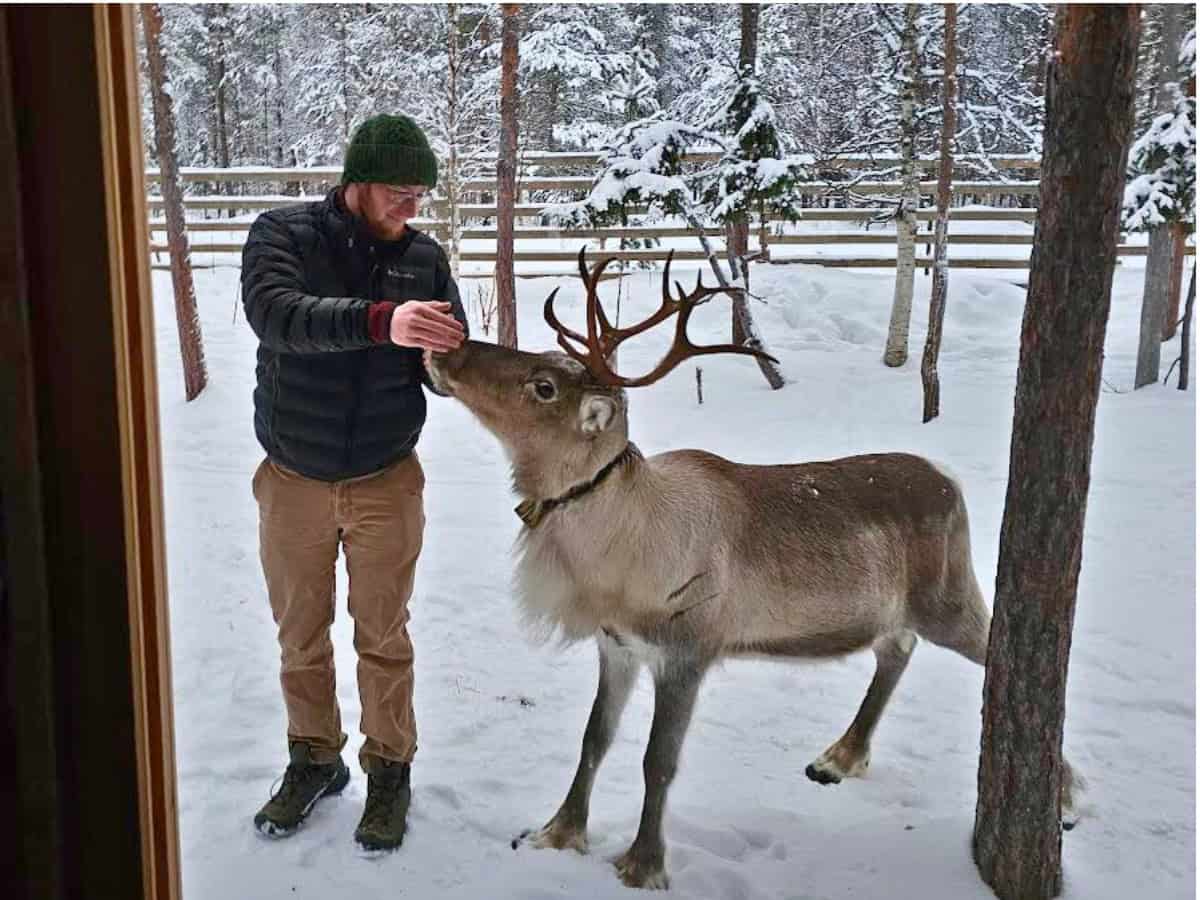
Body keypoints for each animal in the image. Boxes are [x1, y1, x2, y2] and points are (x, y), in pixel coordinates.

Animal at [424, 250, 1079, 890]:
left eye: (543, 387)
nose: (449, 346)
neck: (612, 559)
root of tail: (951, 480)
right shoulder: (618, 645)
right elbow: (593, 740)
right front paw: (558, 832)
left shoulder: (688, 650)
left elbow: (658, 761)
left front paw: (643, 864)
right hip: (896, 607)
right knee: (896, 647)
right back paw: (839, 758)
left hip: (949, 592)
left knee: (987, 643)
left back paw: (1068, 795)